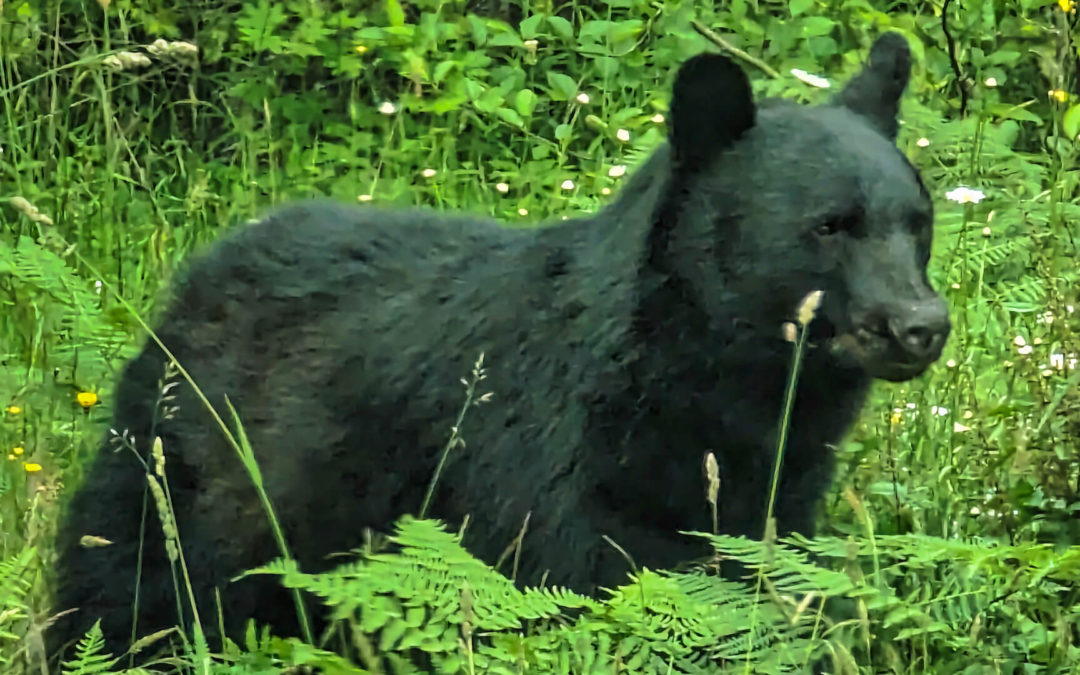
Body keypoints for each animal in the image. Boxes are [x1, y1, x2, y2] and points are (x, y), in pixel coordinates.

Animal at [50, 34, 946, 660]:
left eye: (918, 220)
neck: (698, 383)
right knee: (123, 589)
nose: (921, 324)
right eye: (830, 225)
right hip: (184, 462)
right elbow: (571, 588)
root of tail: (202, 266)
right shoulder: (545, 469)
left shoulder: (774, 496)